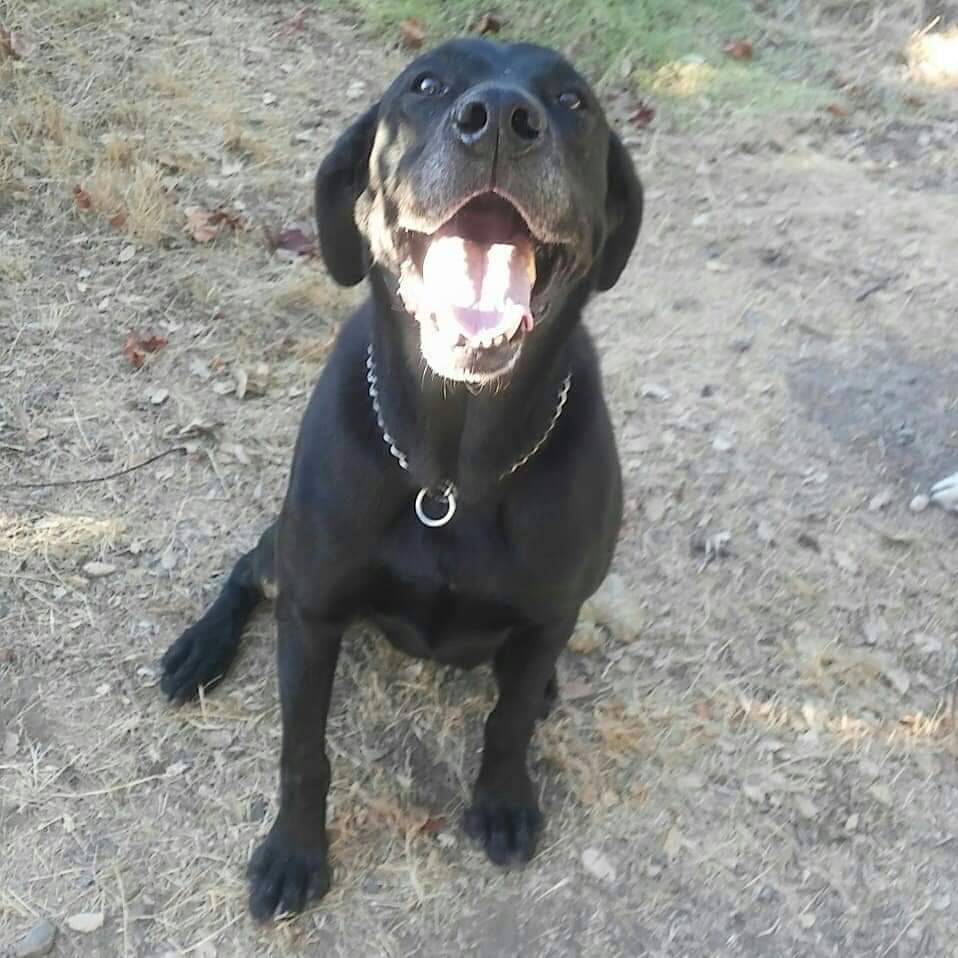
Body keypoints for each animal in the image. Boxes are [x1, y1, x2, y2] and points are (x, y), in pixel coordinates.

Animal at [161, 37, 640, 924]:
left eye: (573, 101)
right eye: (426, 83)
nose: (501, 119)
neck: (452, 468)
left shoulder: (551, 610)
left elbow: (509, 722)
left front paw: (504, 800)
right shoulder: (314, 609)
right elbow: (303, 750)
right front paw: (295, 853)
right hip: (284, 556)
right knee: (248, 568)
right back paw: (200, 648)